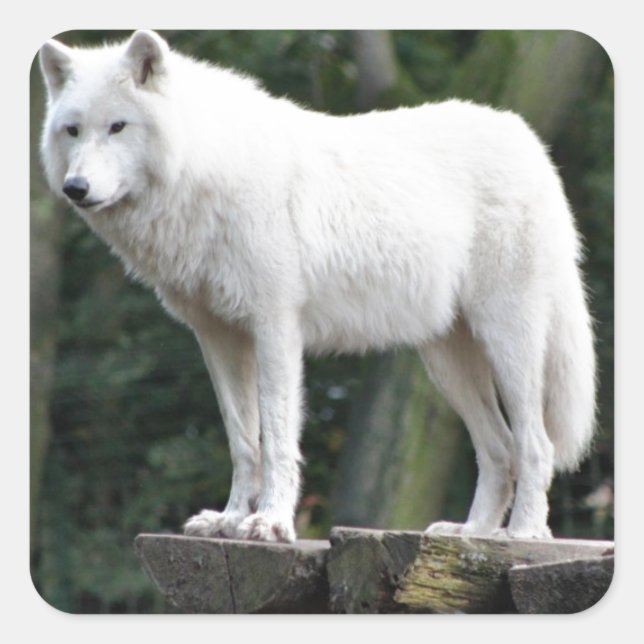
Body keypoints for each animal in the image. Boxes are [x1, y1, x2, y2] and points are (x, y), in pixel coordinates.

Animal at [39, 30, 596, 543]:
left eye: (117, 127)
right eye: (72, 130)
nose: (75, 189)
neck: (205, 169)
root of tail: (529, 140)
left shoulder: (275, 327)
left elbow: (277, 435)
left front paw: (270, 522)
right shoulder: (217, 337)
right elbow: (243, 440)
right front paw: (230, 520)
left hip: (507, 344)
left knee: (536, 444)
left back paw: (523, 533)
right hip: (446, 363)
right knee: (499, 449)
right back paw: (471, 533)